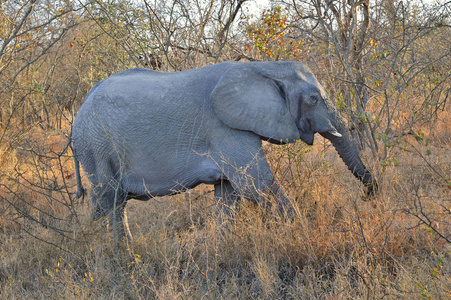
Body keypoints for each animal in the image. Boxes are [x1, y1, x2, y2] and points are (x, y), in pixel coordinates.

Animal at [72, 61, 378, 237]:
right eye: (314, 99)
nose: (370, 195)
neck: (265, 67)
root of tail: (78, 114)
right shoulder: (225, 128)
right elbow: (256, 185)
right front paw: (304, 235)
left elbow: (229, 194)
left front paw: (219, 249)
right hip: (97, 144)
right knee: (110, 200)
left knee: (108, 202)